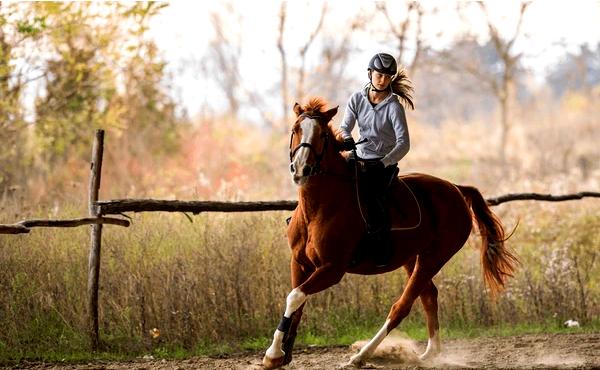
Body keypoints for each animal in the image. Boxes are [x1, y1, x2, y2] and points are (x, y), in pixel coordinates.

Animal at [262, 97, 516, 368]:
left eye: (323, 135)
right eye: (295, 129)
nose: (302, 169)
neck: (319, 206)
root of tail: (456, 189)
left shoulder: (332, 269)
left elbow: (295, 296)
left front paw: (273, 354)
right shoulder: (299, 262)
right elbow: (296, 301)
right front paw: (283, 353)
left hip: (433, 258)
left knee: (402, 306)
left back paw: (361, 356)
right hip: (412, 258)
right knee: (428, 295)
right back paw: (430, 353)